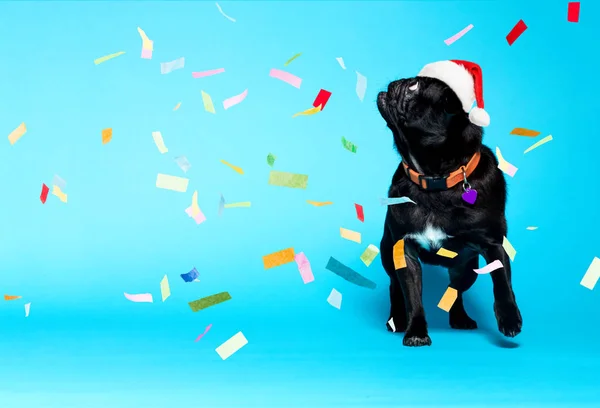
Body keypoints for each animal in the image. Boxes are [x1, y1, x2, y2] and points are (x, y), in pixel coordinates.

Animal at [378, 67, 524, 348]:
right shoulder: (405, 251)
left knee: (455, 289)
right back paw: (397, 319)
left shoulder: (493, 244)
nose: (394, 83)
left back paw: (460, 318)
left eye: (414, 87)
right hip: (388, 254)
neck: (435, 179)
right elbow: (413, 297)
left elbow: (502, 282)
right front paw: (415, 330)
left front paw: (510, 319)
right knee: (395, 287)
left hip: (467, 269)